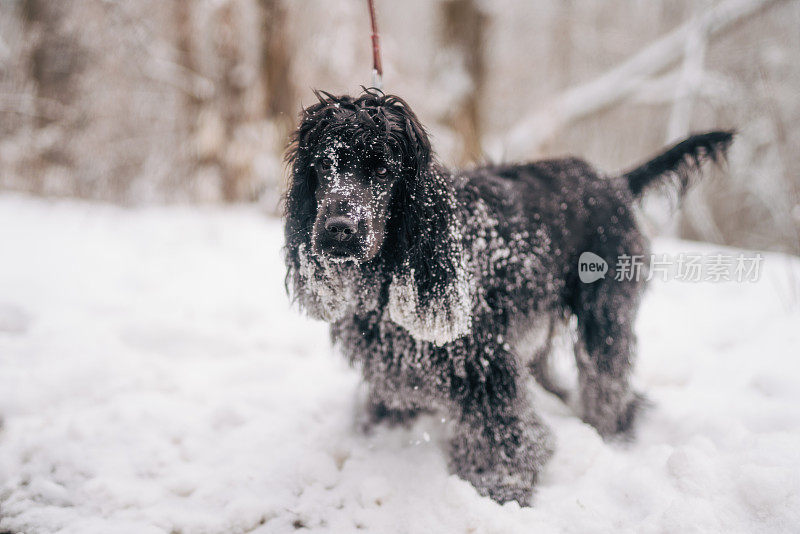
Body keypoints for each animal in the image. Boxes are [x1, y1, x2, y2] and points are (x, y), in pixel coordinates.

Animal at [282, 89, 732, 506]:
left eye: (381, 169)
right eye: (322, 165)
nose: (338, 230)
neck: (390, 269)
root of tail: (613, 182)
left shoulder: (484, 360)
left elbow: (502, 430)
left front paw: (500, 486)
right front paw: (382, 432)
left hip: (605, 309)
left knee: (608, 378)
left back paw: (612, 432)